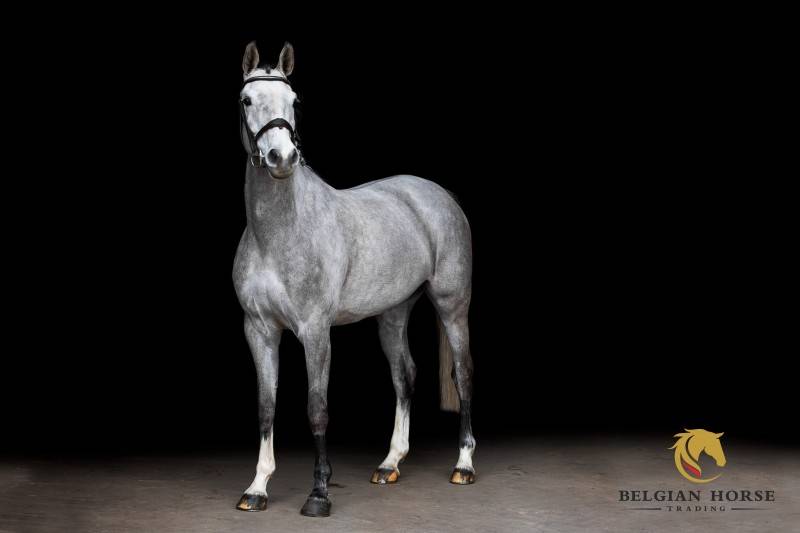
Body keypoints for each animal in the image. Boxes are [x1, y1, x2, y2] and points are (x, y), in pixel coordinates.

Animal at [232, 41, 476, 517]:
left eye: (295, 102)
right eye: (247, 100)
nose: (282, 159)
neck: (279, 233)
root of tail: (441, 195)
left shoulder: (315, 331)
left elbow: (317, 409)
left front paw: (318, 494)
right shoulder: (260, 330)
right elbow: (266, 407)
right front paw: (257, 487)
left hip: (453, 308)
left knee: (464, 374)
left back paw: (464, 465)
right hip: (393, 314)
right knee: (405, 376)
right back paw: (390, 463)